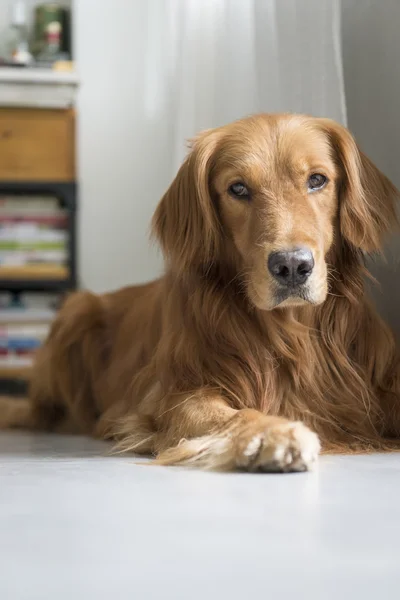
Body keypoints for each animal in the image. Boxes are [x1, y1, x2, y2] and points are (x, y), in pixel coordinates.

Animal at [0, 111, 400, 468]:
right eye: (238, 188)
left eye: (317, 179)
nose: (291, 266)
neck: (289, 331)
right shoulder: (174, 395)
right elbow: (232, 413)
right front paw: (272, 432)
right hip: (76, 310)